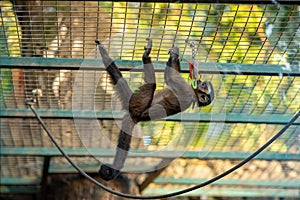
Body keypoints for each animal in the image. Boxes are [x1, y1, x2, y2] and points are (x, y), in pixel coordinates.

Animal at [95, 38, 214, 180]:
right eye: (204, 84)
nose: (202, 81)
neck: (195, 95)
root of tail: (135, 117)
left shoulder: (188, 92)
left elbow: (171, 78)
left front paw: (174, 54)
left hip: (138, 102)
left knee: (151, 85)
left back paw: (144, 56)